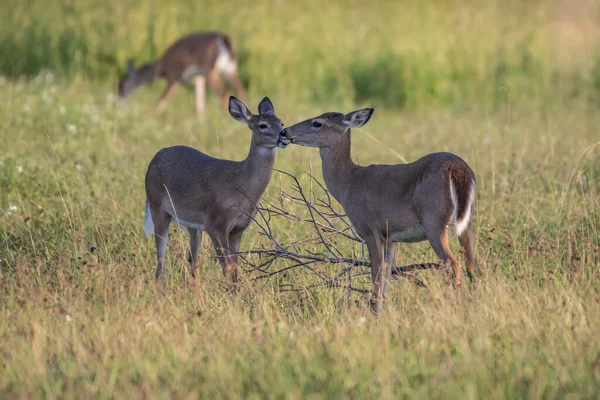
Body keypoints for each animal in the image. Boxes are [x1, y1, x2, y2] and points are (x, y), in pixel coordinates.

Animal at [146, 97, 286, 282]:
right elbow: (227, 269)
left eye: (281, 122)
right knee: (160, 264)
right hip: (157, 207)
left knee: (191, 259)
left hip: (193, 224)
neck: (241, 186)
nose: (283, 135)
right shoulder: (216, 225)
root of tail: (153, 159)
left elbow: (234, 270)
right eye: (262, 125)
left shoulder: (237, 230)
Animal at [278, 109, 478, 312]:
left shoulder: (370, 228)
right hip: (466, 220)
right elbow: (387, 274)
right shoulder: (390, 235)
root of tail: (457, 168)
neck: (349, 183)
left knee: (453, 262)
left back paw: (458, 304)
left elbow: (376, 272)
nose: (284, 131)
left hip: (434, 220)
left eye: (317, 123)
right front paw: (384, 306)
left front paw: (375, 308)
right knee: (471, 263)